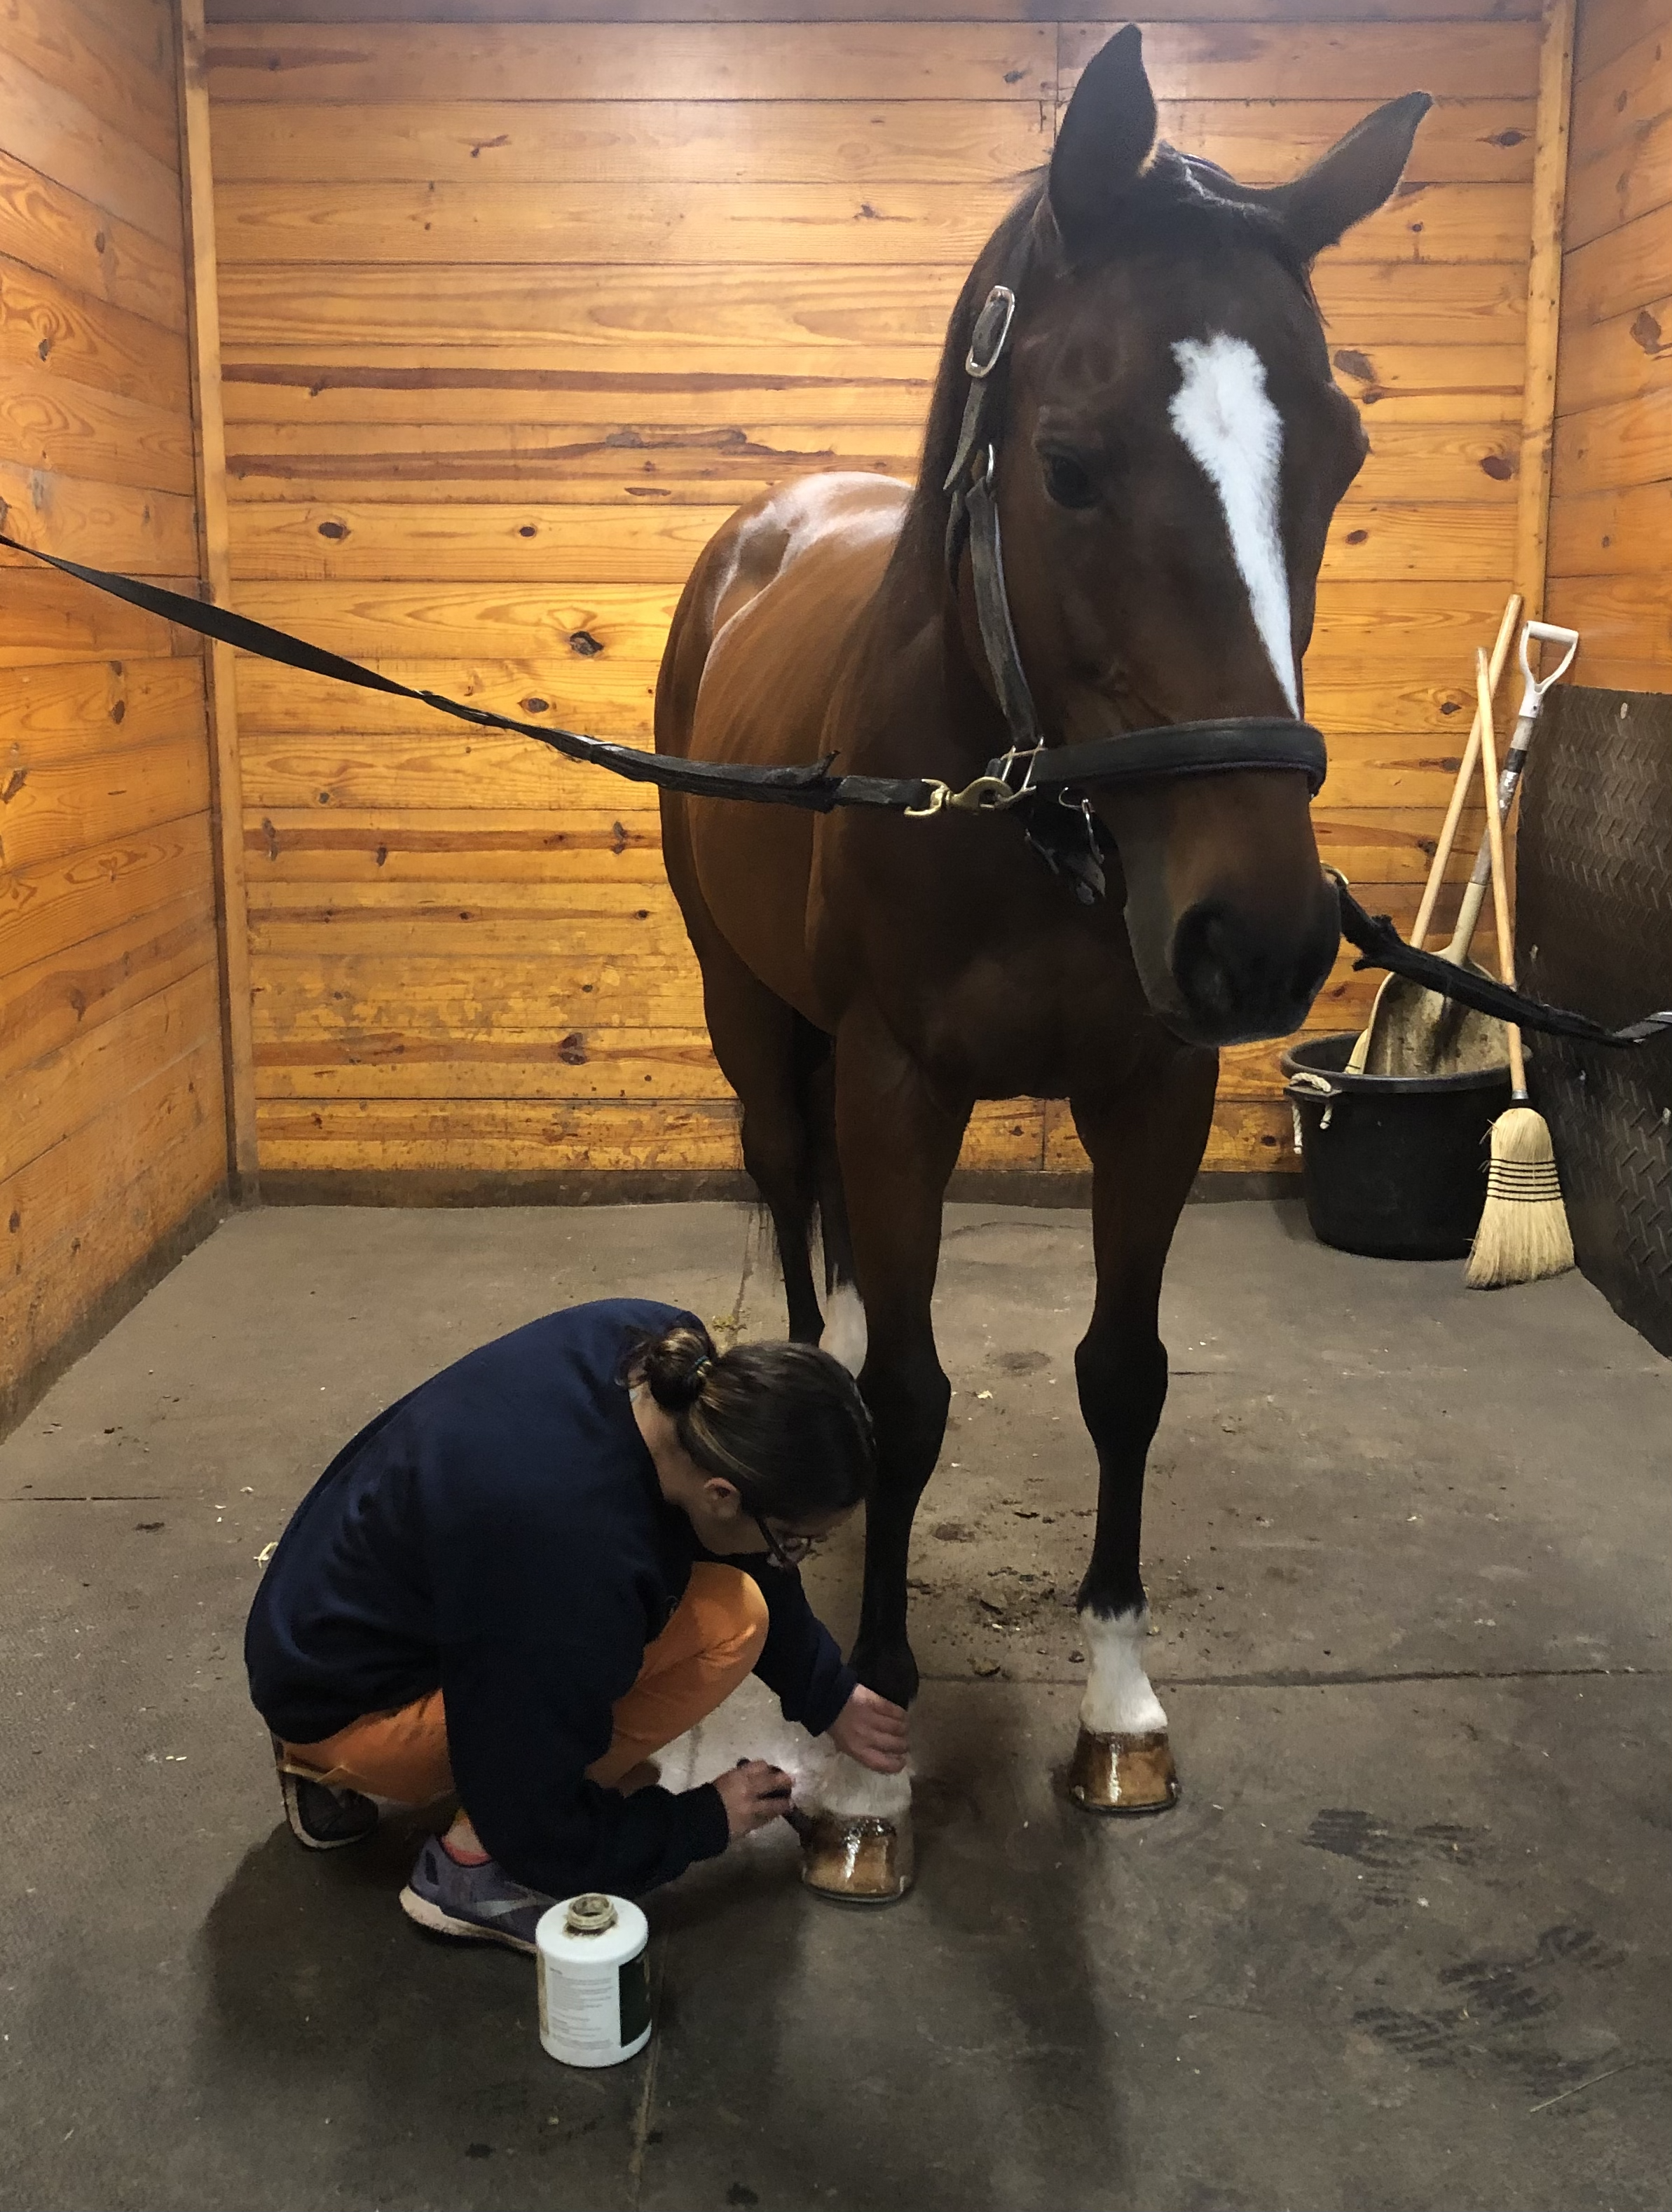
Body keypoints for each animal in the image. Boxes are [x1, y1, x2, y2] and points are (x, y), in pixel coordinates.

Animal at [655, 24, 1430, 1900]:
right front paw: (866, 1784)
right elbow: (906, 1390)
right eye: (1066, 465)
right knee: (796, 1226)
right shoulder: (892, 1090)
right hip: (754, 1025)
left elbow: (1120, 1376)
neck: (1018, 805)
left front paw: (1117, 1707)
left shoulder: (1153, 1089)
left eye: (1335, 460)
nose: (1264, 938)